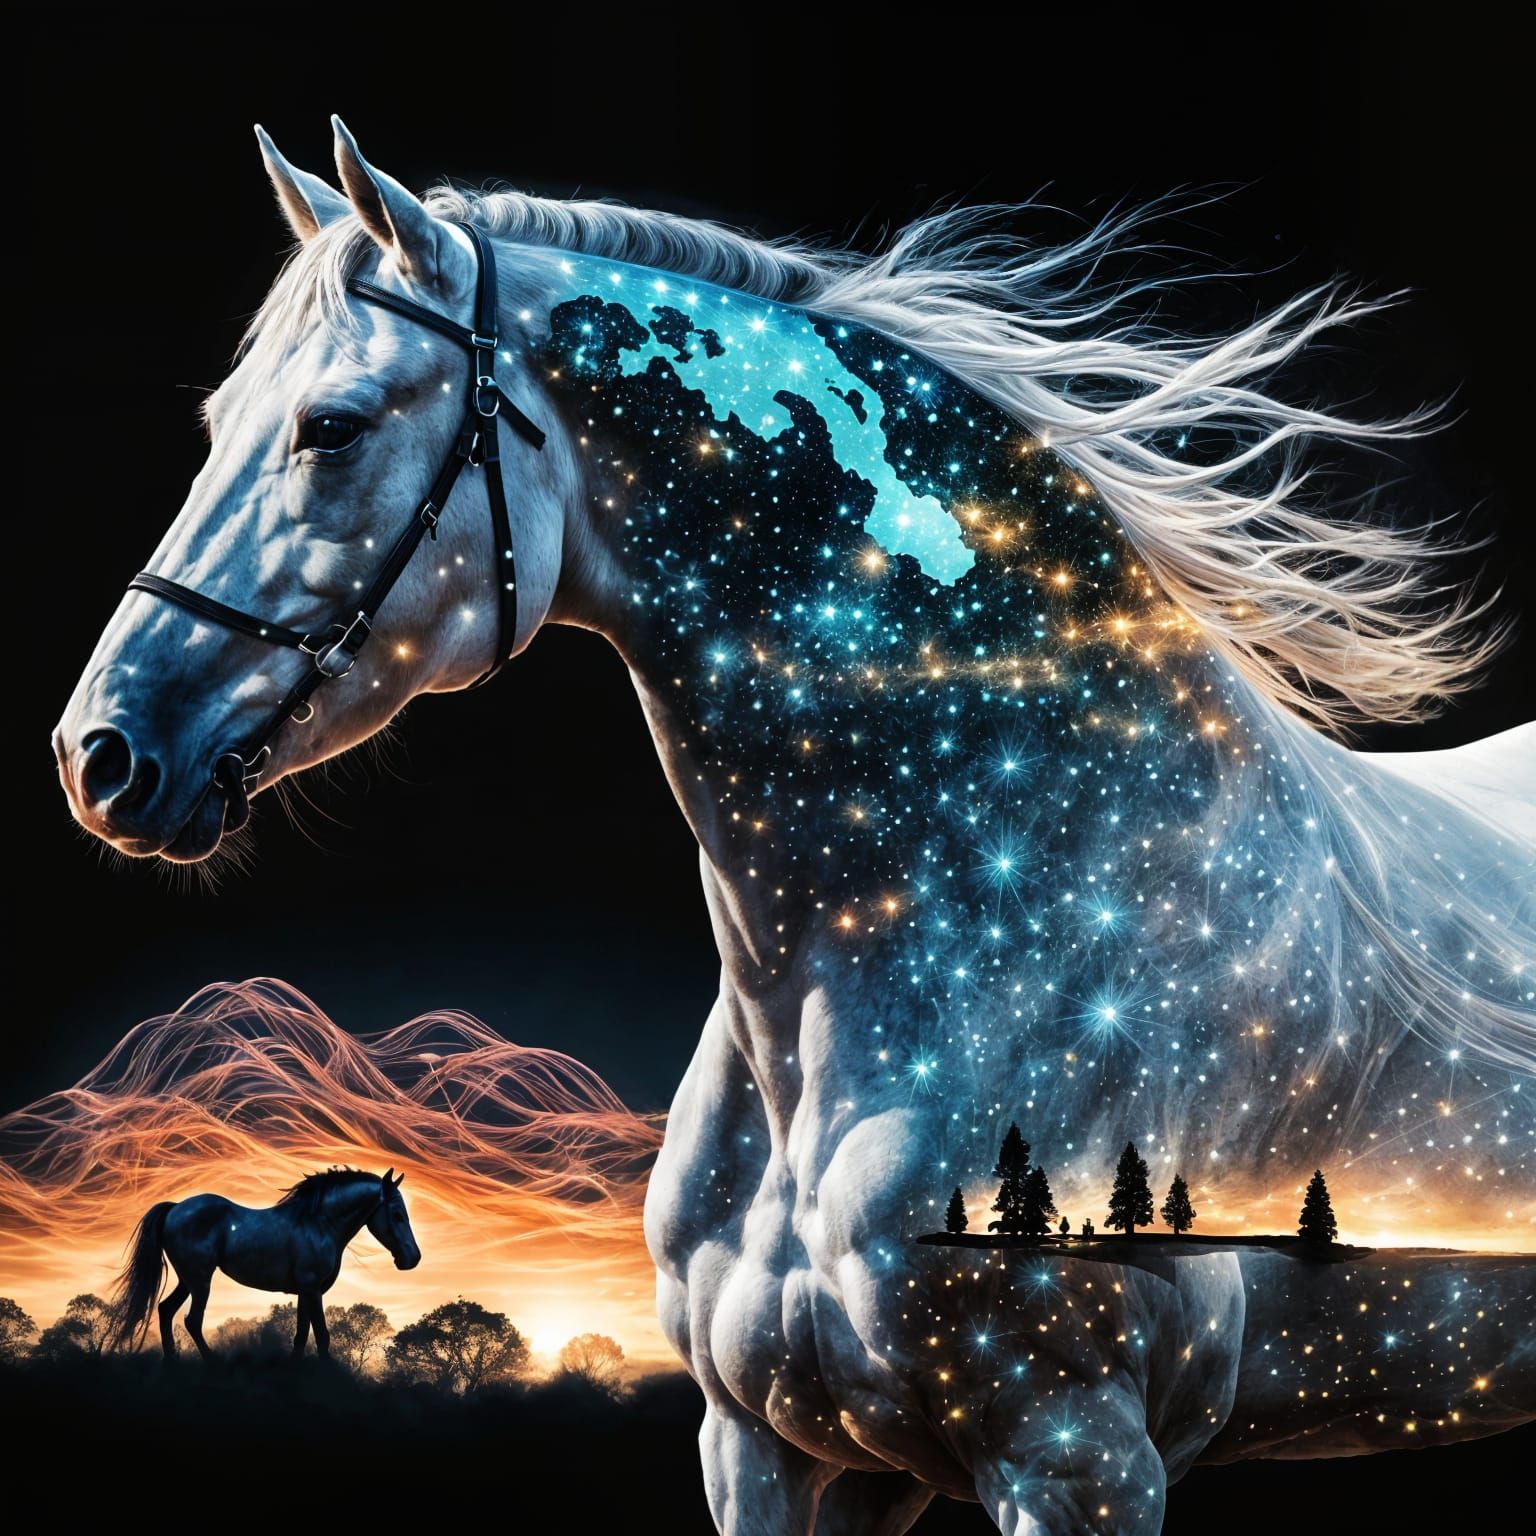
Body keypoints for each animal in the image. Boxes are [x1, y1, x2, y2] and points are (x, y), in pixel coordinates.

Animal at [109, 1167, 419, 1359]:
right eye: (396, 1213)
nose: (412, 1258)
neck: (318, 1223)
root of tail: (174, 1208)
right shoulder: (311, 1288)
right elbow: (318, 1335)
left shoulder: (306, 1292)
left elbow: (304, 1335)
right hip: (200, 1281)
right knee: (192, 1320)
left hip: (188, 1279)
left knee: (165, 1310)